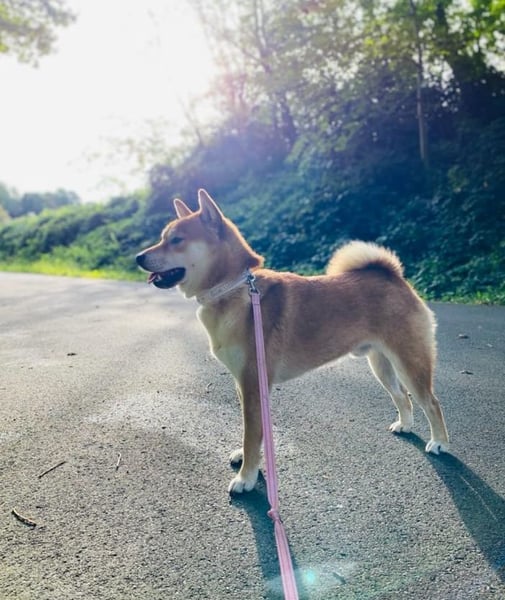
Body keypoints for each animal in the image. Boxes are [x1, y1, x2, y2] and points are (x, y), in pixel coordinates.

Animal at [136, 189, 449, 493]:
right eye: (163, 238)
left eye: (176, 240)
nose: (138, 257)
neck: (234, 289)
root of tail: (394, 277)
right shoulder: (245, 384)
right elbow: (254, 433)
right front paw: (247, 462)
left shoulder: (253, 383)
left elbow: (252, 434)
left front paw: (246, 478)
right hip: (381, 364)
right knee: (402, 396)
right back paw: (405, 425)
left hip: (409, 362)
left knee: (431, 402)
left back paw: (440, 442)